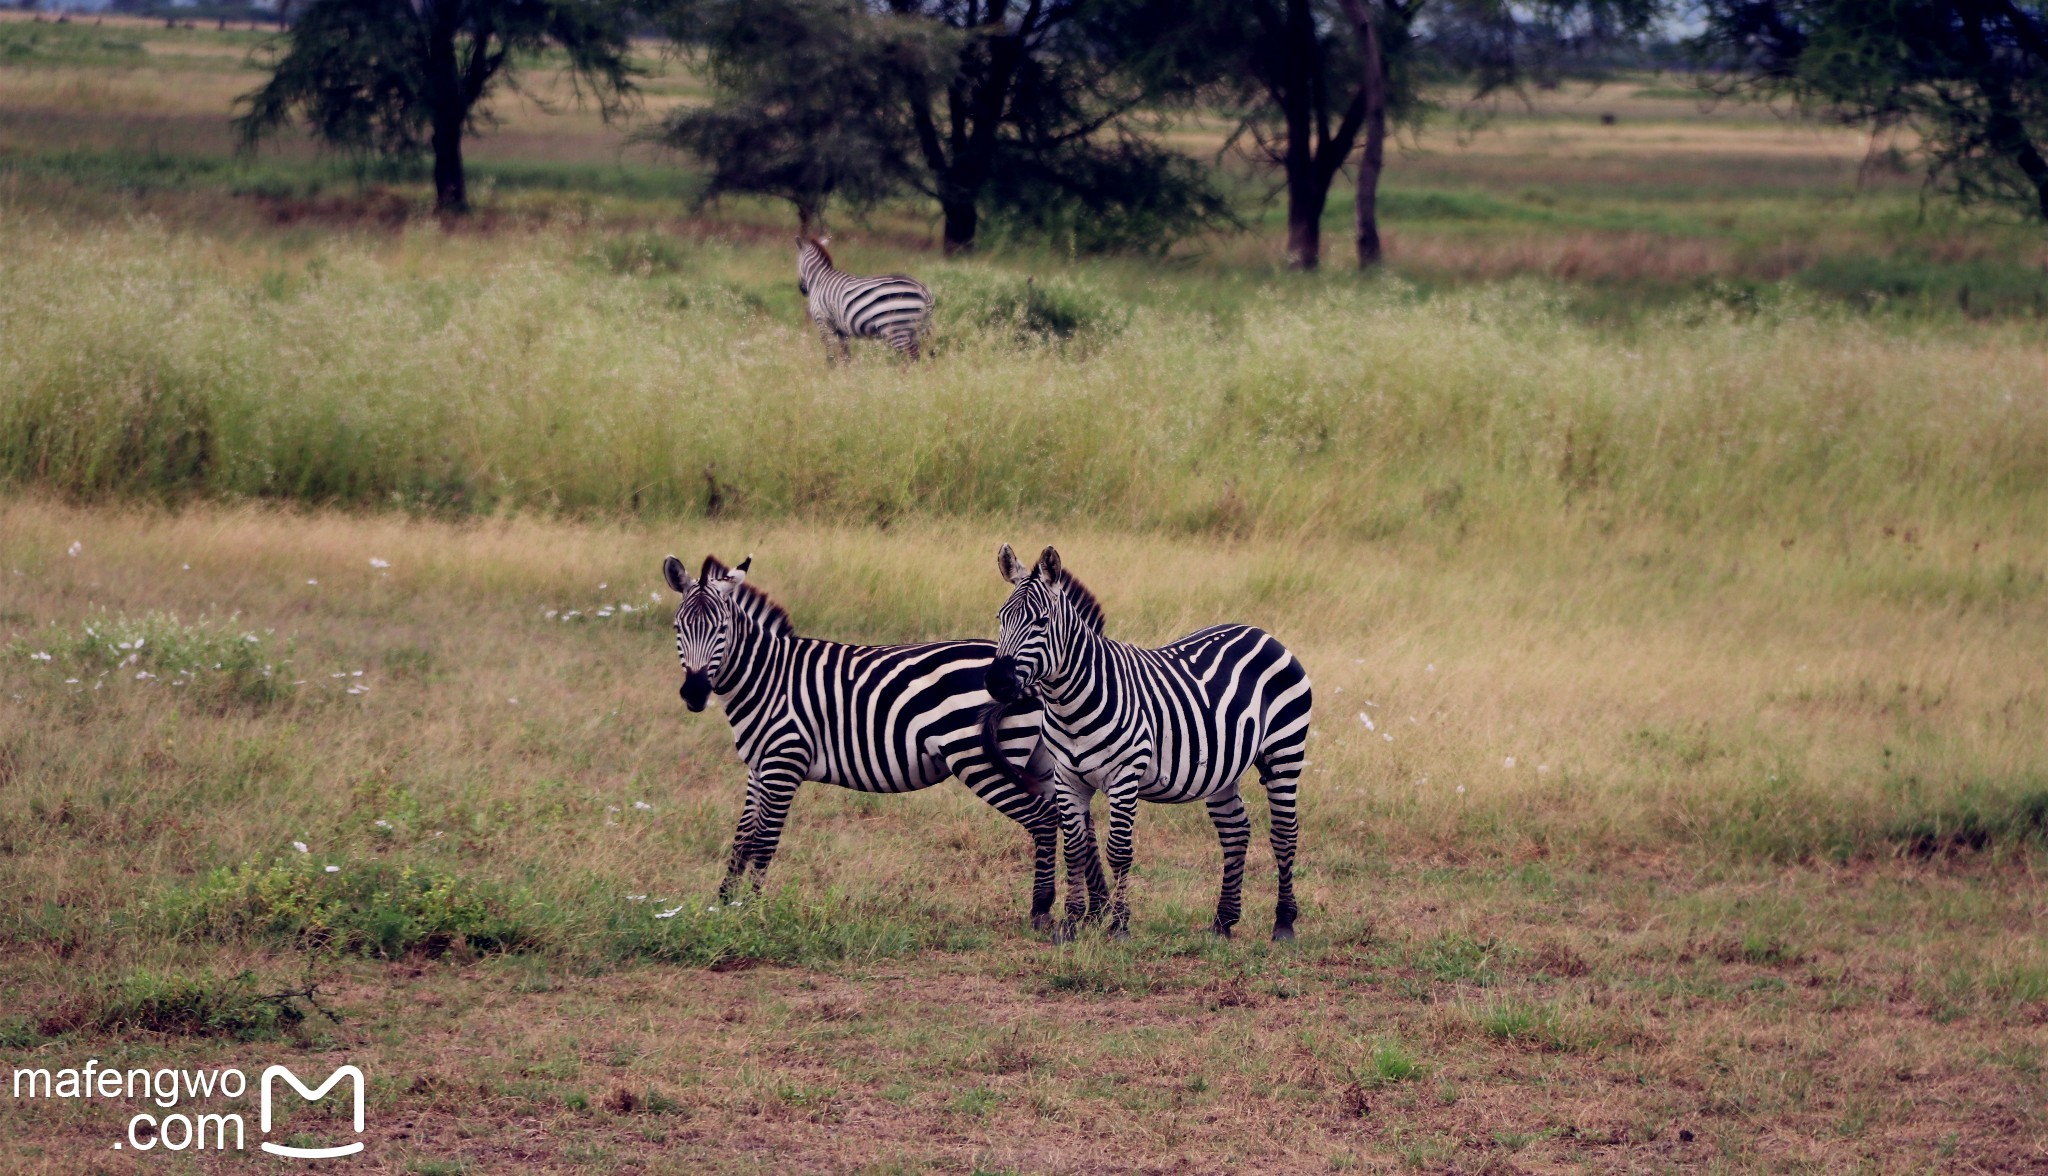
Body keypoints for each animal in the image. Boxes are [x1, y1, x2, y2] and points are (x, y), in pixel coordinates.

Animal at [663, 557, 1064, 930]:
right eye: (677, 628)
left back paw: (1040, 910)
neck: (767, 679)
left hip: (981, 761)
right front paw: (723, 906)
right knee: (1055, 816)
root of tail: (1025, 675)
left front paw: (751, 911)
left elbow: (764, 840)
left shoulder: (784, 762)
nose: (694, 694)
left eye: (721, 629)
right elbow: (742, 837)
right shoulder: (759, 767)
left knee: (1043, 819)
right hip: (1035, 761)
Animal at [794, 230, 933, 360]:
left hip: (897, 329)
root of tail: (923, 290)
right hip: (918, 329)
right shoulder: (841, 330)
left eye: (798, 263)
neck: (819, 280)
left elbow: (830, 354)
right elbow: (845, 356)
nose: (802, 289)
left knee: (910, 358)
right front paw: (845, 370)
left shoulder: (822, 321)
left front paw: (830, 368)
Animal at [987, 549, 1310, 946]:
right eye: (1001, 618)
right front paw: (1072, 921)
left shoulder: (1124, 777)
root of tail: (1261, 633)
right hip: (1223, 768)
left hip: (1285, 752)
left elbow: (1119, 851)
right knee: (1235, 833)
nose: (996, 681)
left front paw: (1119, 926)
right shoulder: (1067, 779)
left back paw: (1284, 923)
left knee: (1284, 834)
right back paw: (1223, 922)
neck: (1071, 703)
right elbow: (1074, 849)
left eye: (1042, 623)